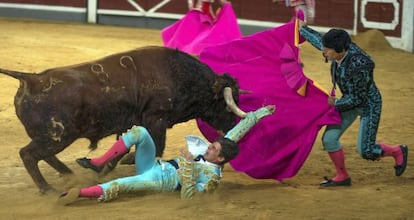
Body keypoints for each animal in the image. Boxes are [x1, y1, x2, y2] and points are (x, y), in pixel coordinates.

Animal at [0, 45, 241, 193]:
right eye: (228, 105)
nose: (234, 126)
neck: (179, 75)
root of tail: (31, 79)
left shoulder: (134, 122)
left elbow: (123, 149)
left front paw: (104, 167)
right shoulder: (155, 117)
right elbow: (158, 145)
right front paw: (127, 161)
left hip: (51, 137)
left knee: (43, 155)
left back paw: (68, 173)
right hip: (58, 135)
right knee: (28, 154)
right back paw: (46, 188)